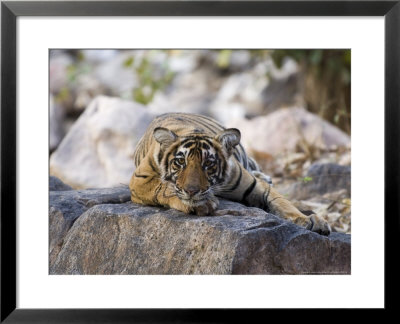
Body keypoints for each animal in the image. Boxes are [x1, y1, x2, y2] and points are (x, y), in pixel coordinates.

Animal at [129, 112, 332, 234]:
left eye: (208, 163)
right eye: (180, 162)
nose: (192, 191)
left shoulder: (254, 185)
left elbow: (282, 202)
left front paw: (311, 220)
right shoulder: (140, 180)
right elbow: (165, 187)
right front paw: (202, 203)